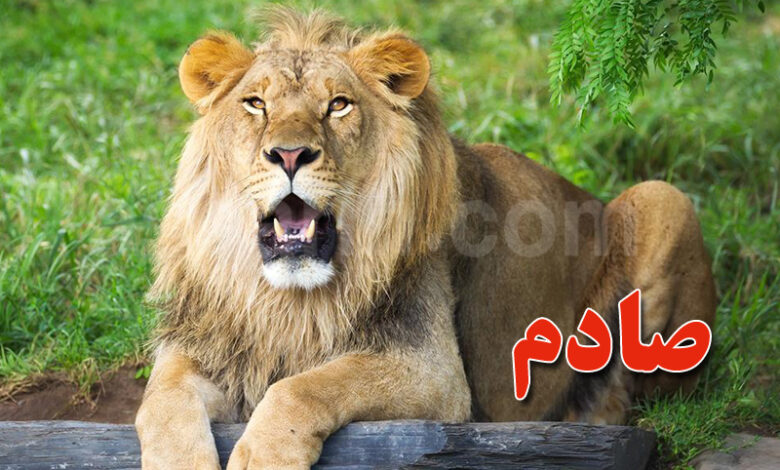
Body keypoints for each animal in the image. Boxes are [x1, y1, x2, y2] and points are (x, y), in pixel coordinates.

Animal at [135, 8, 717, 469]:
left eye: (338, 105)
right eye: (255, 103)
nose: (290, 154)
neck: (285, 300)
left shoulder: (436, 374)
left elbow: (303, 386)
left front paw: (265, 457)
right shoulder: (207, 344)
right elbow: (159, 400)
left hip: (663, 199)